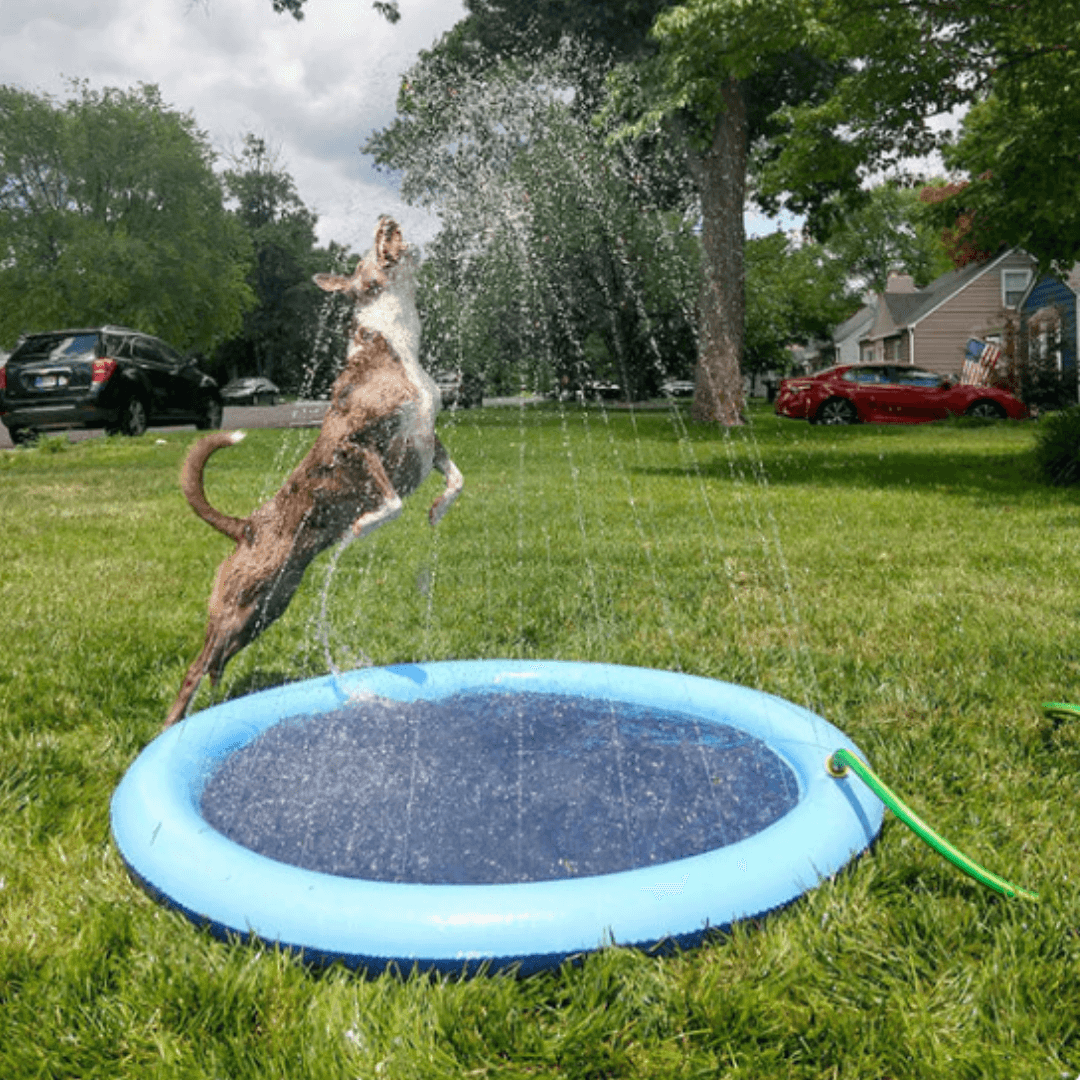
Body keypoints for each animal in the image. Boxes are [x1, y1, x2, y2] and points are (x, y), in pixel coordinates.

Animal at [164, 217, 464, 725]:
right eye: (370, 250)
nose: (386, 219)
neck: (395, 345)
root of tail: (244, 526)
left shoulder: (428, 439)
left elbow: (457, 479)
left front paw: (438, 510)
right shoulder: (356, 444)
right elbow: (391, 501)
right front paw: (362, 525)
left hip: (267, 608)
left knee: (215, 664)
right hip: (237, 606)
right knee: (193, 671)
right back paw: (171, 725)